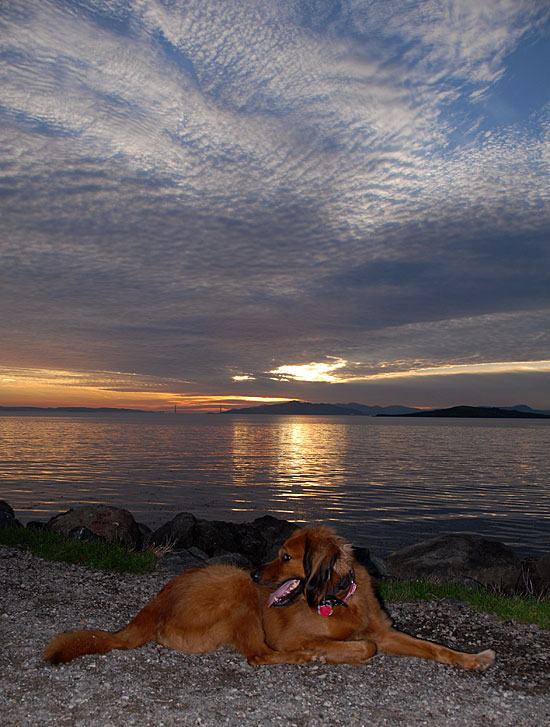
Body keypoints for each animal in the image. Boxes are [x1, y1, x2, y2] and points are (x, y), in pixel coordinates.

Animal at [44, 524, 496, 672]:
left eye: (285, 557)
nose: (255, 573)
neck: (338, 599)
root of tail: (152, 606)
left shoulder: (385, 632)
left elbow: (433, 647)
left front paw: (473, 659)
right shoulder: (292, 634)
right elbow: (363, 647)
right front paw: (328, 652)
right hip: (236, 592)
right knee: (258, 657)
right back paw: (303, 659)